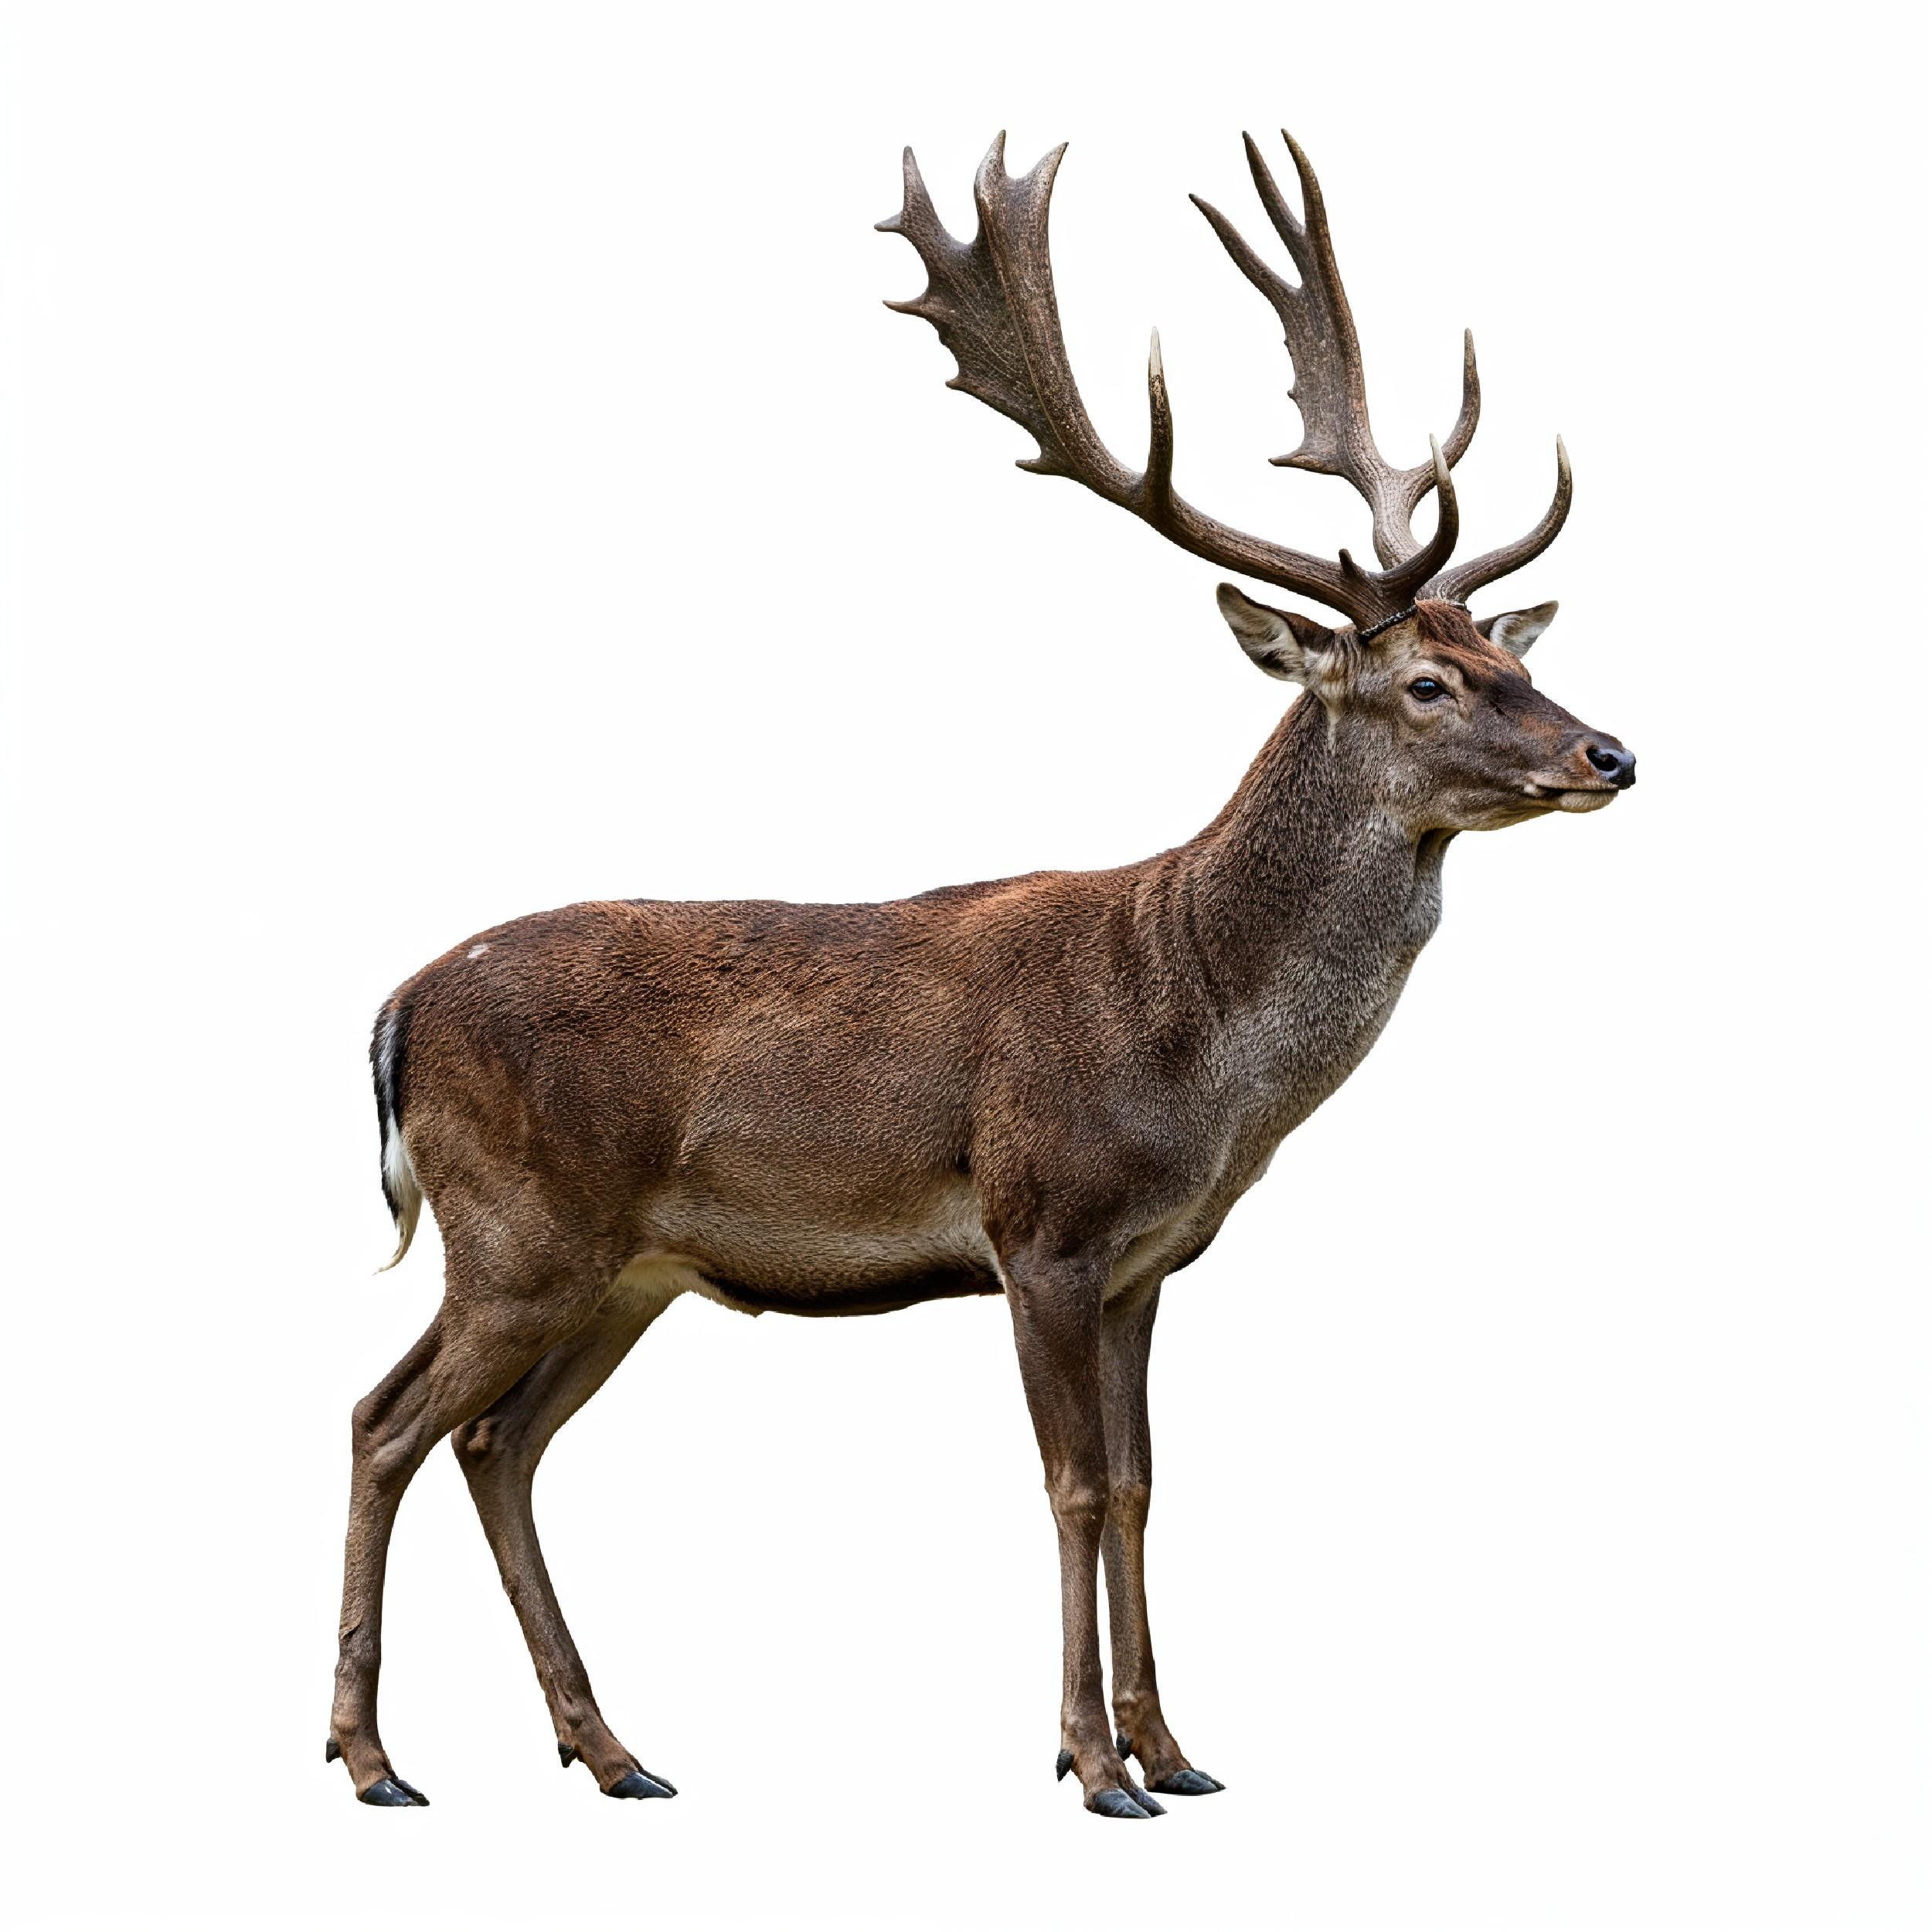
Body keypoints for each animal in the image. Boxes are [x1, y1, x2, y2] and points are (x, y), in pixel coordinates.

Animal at [328, 128, 1635, 1819]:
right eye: (1428, 682)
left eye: (1516, 655)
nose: (1609, 751)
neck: (1198, 1043)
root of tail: (396, 1008)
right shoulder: (1039, 1223)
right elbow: (1070, 1484)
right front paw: (1089, 1762)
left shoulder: (1154, 1258)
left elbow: (1141, 1484)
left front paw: (1176, 1749)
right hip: (512, 1225)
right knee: (385, 1420)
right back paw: (371, 1757)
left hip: (623, 1269)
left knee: (497, 1442)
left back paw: (611, 1750)